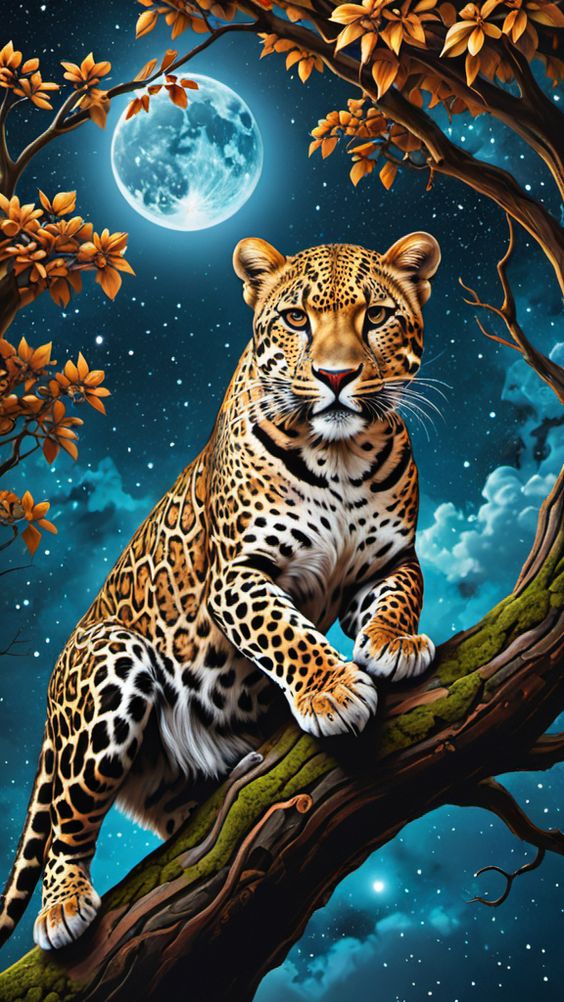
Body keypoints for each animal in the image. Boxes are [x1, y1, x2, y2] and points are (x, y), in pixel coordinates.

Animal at [0, 230, 441, 952]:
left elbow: (399, 595)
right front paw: (332, 691)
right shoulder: (236, 575)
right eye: (297, 319)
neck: (340, 458)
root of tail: (53, 687)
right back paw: (63, 907)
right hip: (109, 664)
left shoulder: (390, 560)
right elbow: (285, 630)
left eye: (376, 316)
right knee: (68, 821)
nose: (337, 377)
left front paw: (392, 642)